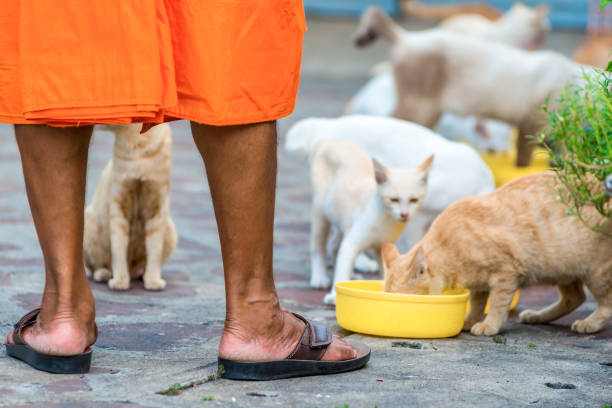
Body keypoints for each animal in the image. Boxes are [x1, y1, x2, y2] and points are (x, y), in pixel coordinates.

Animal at [82, 122, 177, 292]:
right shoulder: (119, 206)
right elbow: (119, 248)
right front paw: (120, 281)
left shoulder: (157, 208)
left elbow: (154, 250)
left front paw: (153, 281)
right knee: (94, 268)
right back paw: (105, 274)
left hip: (170, 229)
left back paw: (143, 274)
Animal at [310, 139, 436, 304]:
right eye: (393, 199)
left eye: (414, 200)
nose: (404, 214)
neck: (387, 221)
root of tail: (328, 142)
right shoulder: (352, 242)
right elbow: (344, 261)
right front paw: (334, 295)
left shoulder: (382, 247)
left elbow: (386, 271)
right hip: (320, 212)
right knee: (319, 247)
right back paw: (319, 277)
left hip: (342, 221)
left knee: (334, 245)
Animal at [382, 171, 612, 334]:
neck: (448, 243)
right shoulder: (479, 284)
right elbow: (477, 304)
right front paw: (470, 320)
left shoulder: (505, 273)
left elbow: (497, 305)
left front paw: (489, 325)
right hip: (562, 268)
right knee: (576, 297)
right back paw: (537, 316)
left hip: (596, 272)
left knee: (606, 303)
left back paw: (590, 323)